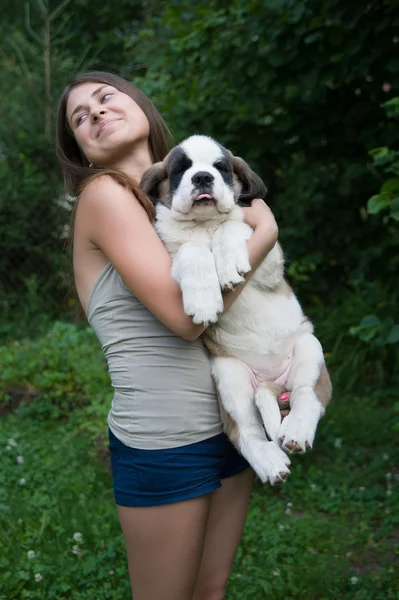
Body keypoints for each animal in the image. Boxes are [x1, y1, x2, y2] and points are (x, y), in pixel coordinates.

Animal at [142, 134, 332, 486]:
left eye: (221, 168)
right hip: (230, 378)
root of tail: (273, 380)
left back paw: (297, 429)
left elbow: (231, 229)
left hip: (309, 347)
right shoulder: (167, 260)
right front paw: (204, 300)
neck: (204, 225)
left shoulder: (270, 264)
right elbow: (192, 250)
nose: (203, 178)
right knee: (246, 431)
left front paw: (228, 260)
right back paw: (269, 460)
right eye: (181, 169)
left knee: (307, 395)